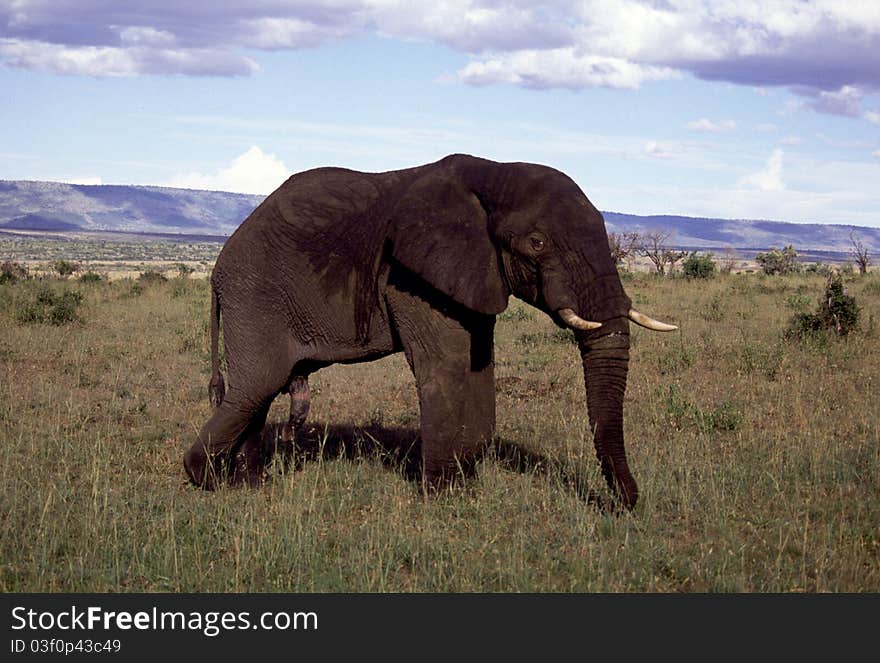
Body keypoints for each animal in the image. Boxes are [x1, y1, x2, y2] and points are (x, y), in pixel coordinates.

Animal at [186, 154, 676, 508]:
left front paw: (466, 483)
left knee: (259, 391)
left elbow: (479, 366)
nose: (626, 504)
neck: (494, 172)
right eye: (536, 244)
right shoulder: (412, 275)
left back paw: (251, 484)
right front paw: (442, 496)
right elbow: (448, 366)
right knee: (257, 385)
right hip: (255, 294)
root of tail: (219, 265)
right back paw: (206, 480)